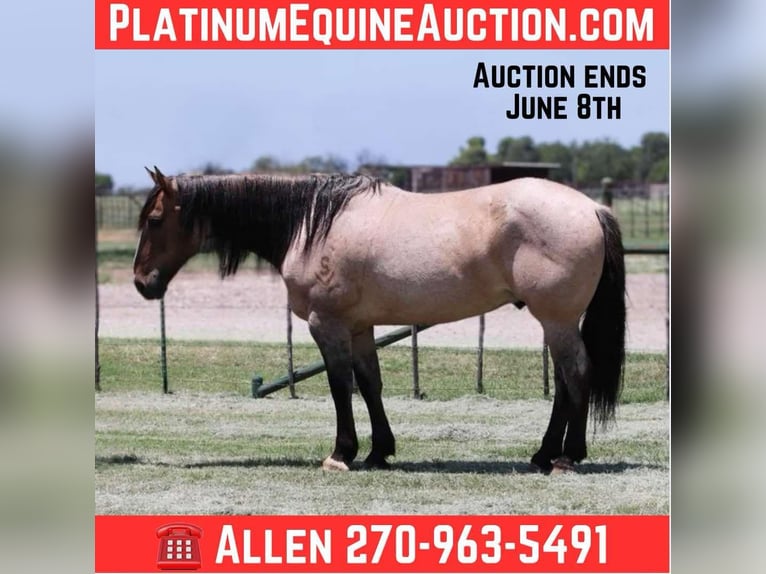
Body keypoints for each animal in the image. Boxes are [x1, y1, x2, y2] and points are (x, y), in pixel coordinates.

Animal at [133, 167, 625, 473]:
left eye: (155, 219)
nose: (142, 282)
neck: (311, 223)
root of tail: (593, 209)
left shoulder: (326, 324)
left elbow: (339, 385)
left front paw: (341, 453)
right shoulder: (359, 326)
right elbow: (370, 383)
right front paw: (378, 452)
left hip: (557, 318)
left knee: (576, 374)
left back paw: (566, 457)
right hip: (554, 321)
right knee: (563, 380)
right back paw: (543, 454)